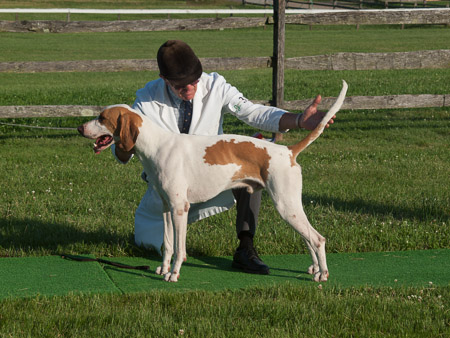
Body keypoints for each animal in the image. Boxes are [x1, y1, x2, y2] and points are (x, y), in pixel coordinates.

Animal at [78, 80, 348, 282]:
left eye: (102, 117)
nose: (80, 128)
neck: (157, 146)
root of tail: (288, 151)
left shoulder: (180, 209)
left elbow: (179, 249)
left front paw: (173, 274)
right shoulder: (167, 208)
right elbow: (167, 245)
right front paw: (163, 270)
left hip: (286, 205)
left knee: (318, 239)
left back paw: (323, 274)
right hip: (291, 208)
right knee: (309, 239)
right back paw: (314, 269)